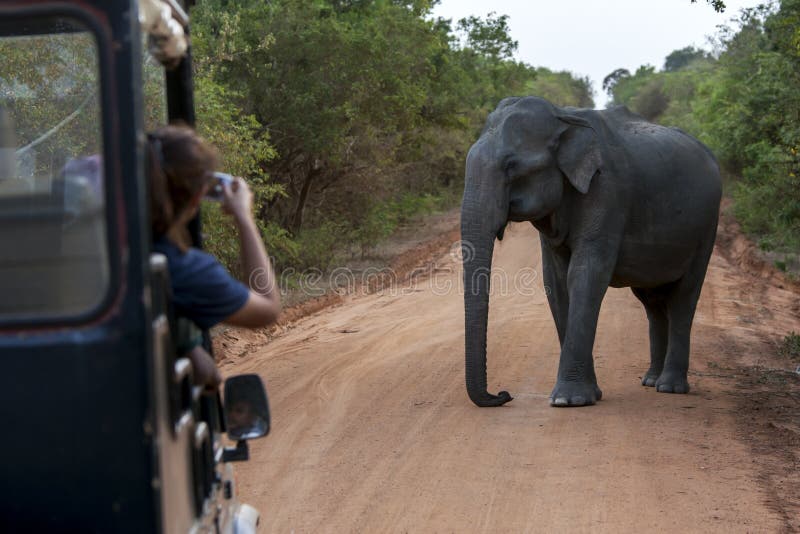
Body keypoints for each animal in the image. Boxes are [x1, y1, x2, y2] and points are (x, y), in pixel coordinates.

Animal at [460, 96, 720, 408]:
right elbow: (556, 282)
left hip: (707, 227)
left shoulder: (607, 191)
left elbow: (585, 275)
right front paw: (587, 396)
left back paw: (670, 388)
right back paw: (650, 381)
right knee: (652, 302)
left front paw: (568, 401)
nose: (504, 394)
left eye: (511, 166)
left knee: (684, 296)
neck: (562, 119)